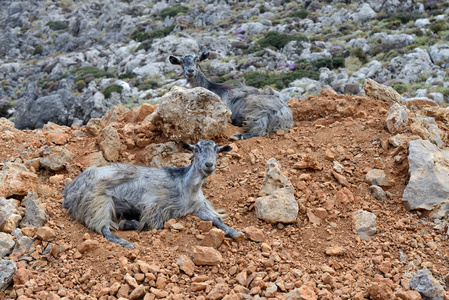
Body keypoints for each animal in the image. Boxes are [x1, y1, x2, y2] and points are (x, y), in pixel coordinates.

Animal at [62, 139, 242, 247]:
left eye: (217, 150)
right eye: (196, 149)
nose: (209, 164)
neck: (185, 186)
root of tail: (69, 189)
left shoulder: (198, 207)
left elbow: (216, 219)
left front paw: (236, 232)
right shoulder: (153, 204)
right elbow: (156, 224)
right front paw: (128, 223)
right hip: (98, 200)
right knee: (103, 227)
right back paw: (126, 242)